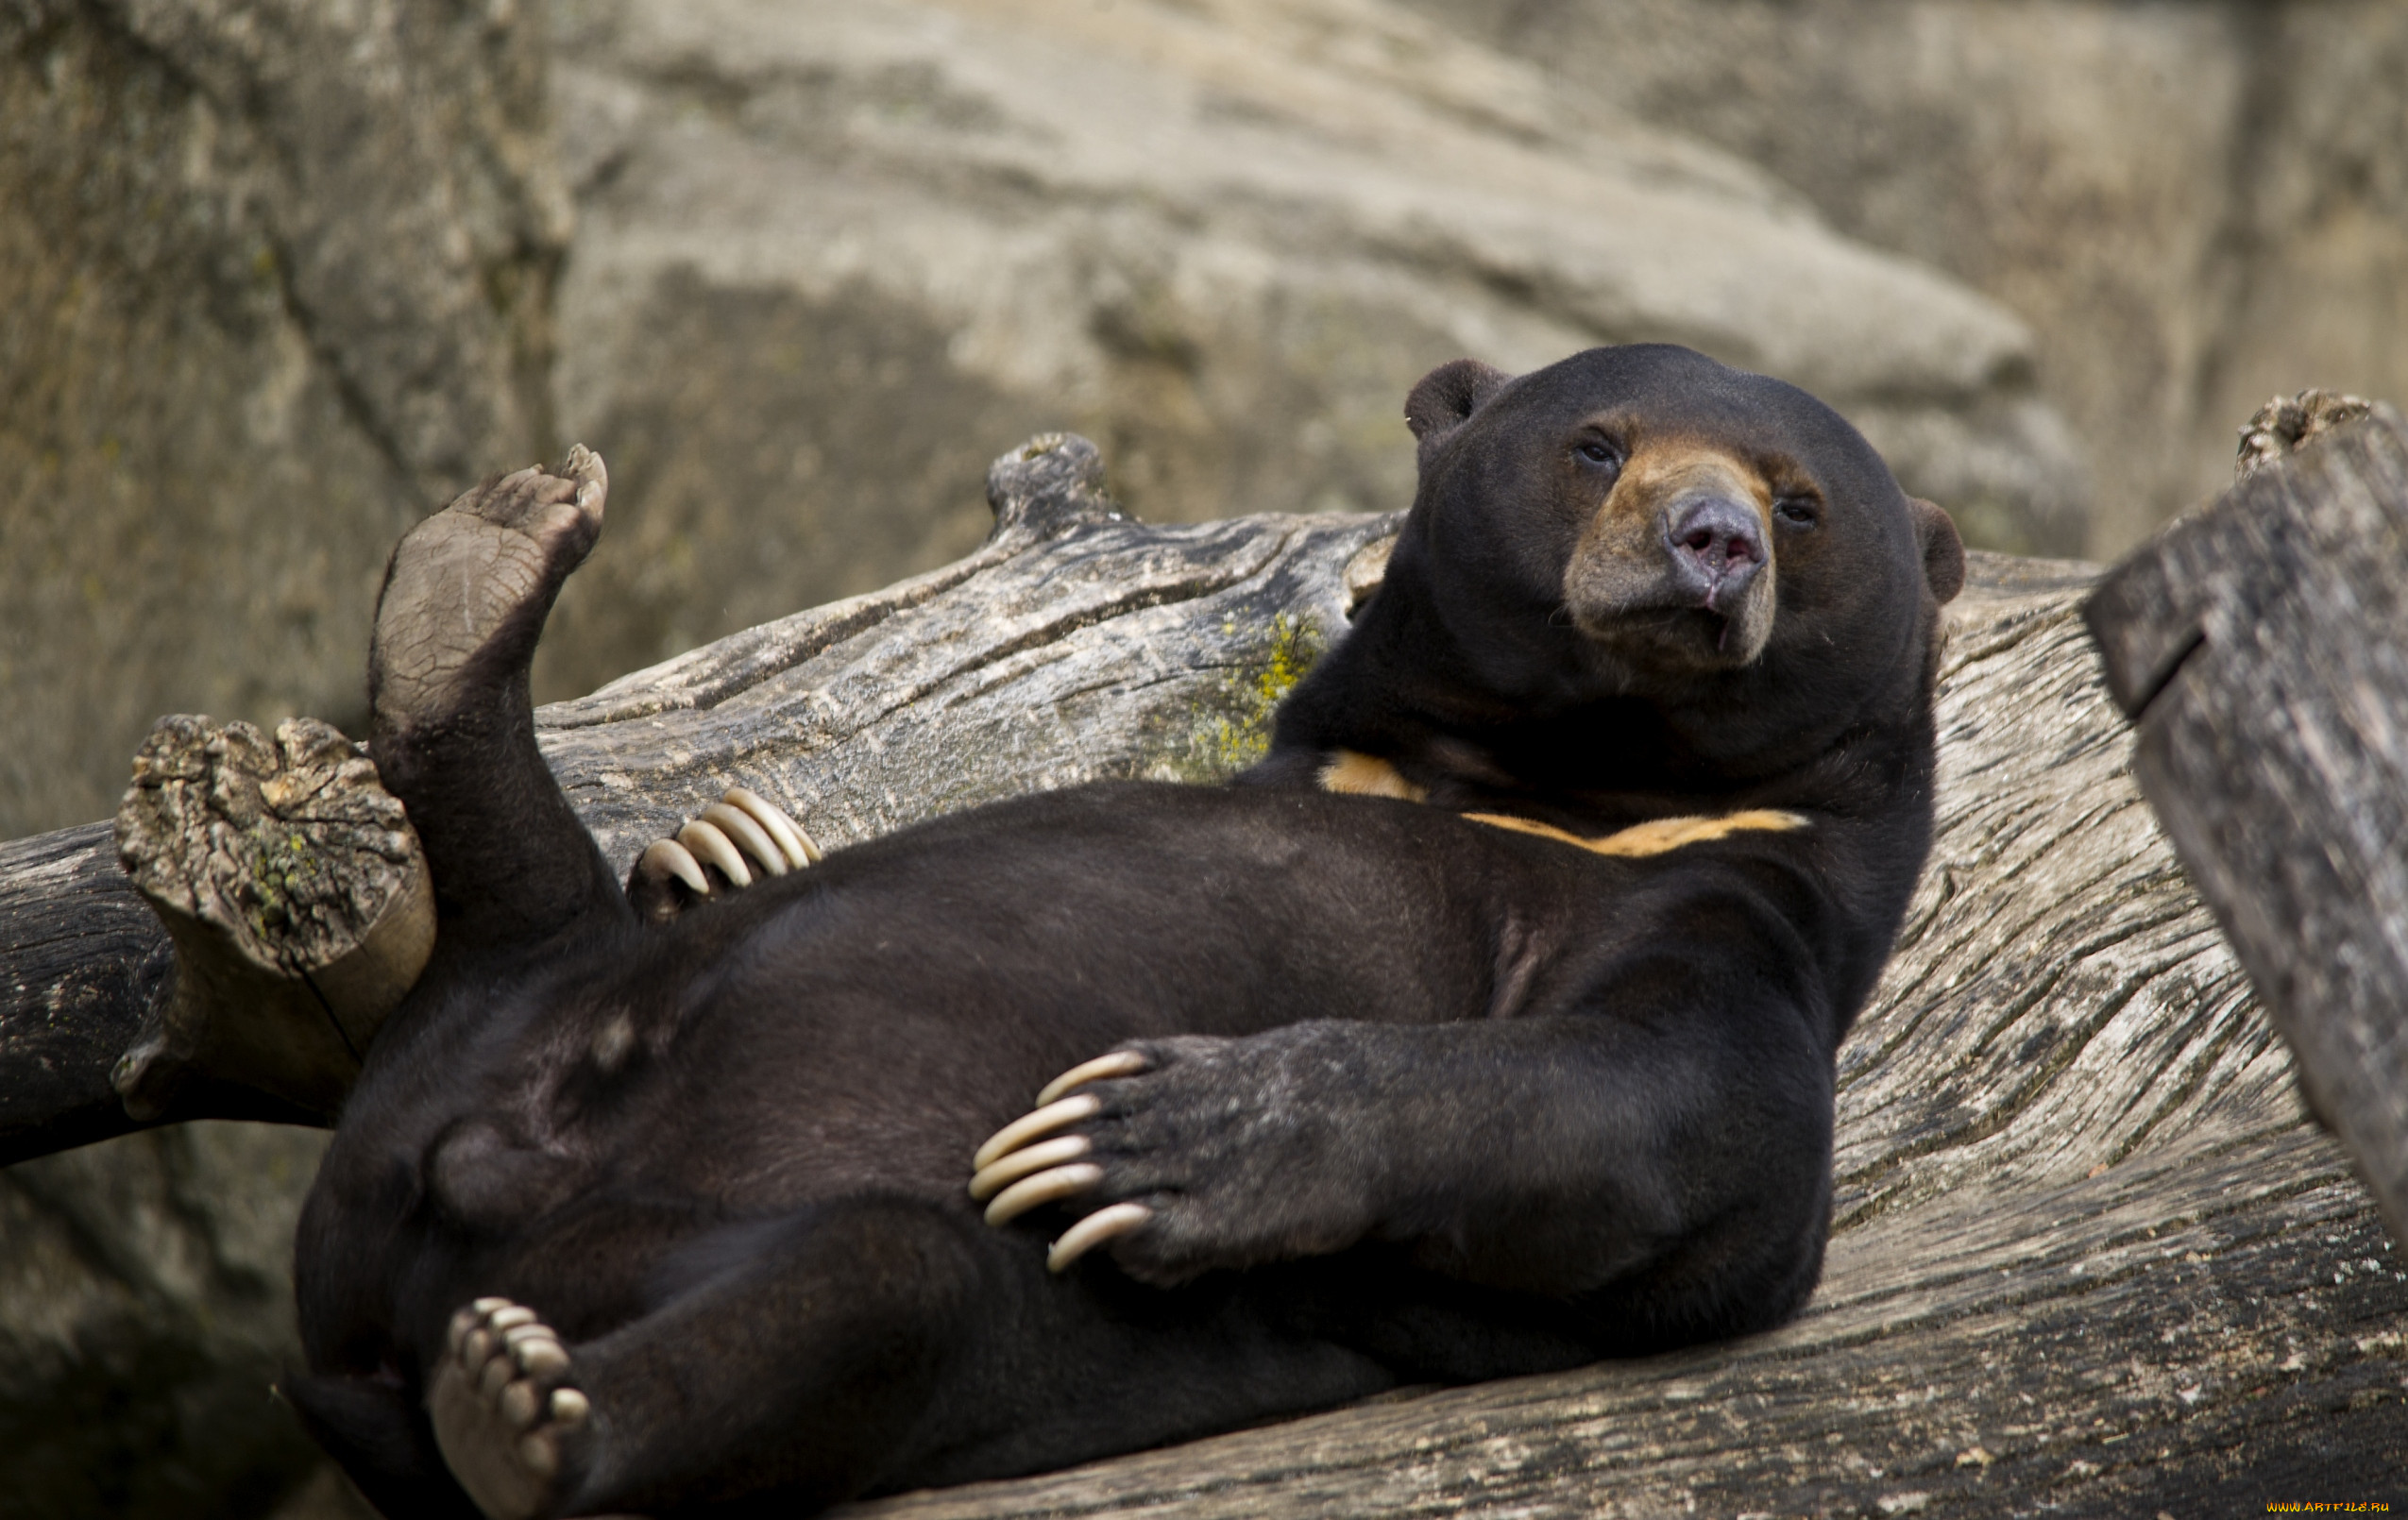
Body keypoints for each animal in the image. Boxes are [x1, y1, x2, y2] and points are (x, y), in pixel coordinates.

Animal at [291, 346, 1964, 1520]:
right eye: (1597, 445)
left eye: (1799, 504)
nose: (1710, 544)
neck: (1572, 785)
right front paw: (720, 846)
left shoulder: (1741, 913)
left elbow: (1683, 1125)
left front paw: (1141, 1135)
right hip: (489, 1031)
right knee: (531, 920)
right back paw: (479, 577)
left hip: (766, 1264)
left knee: (886, 1285)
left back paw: (520, 1406)